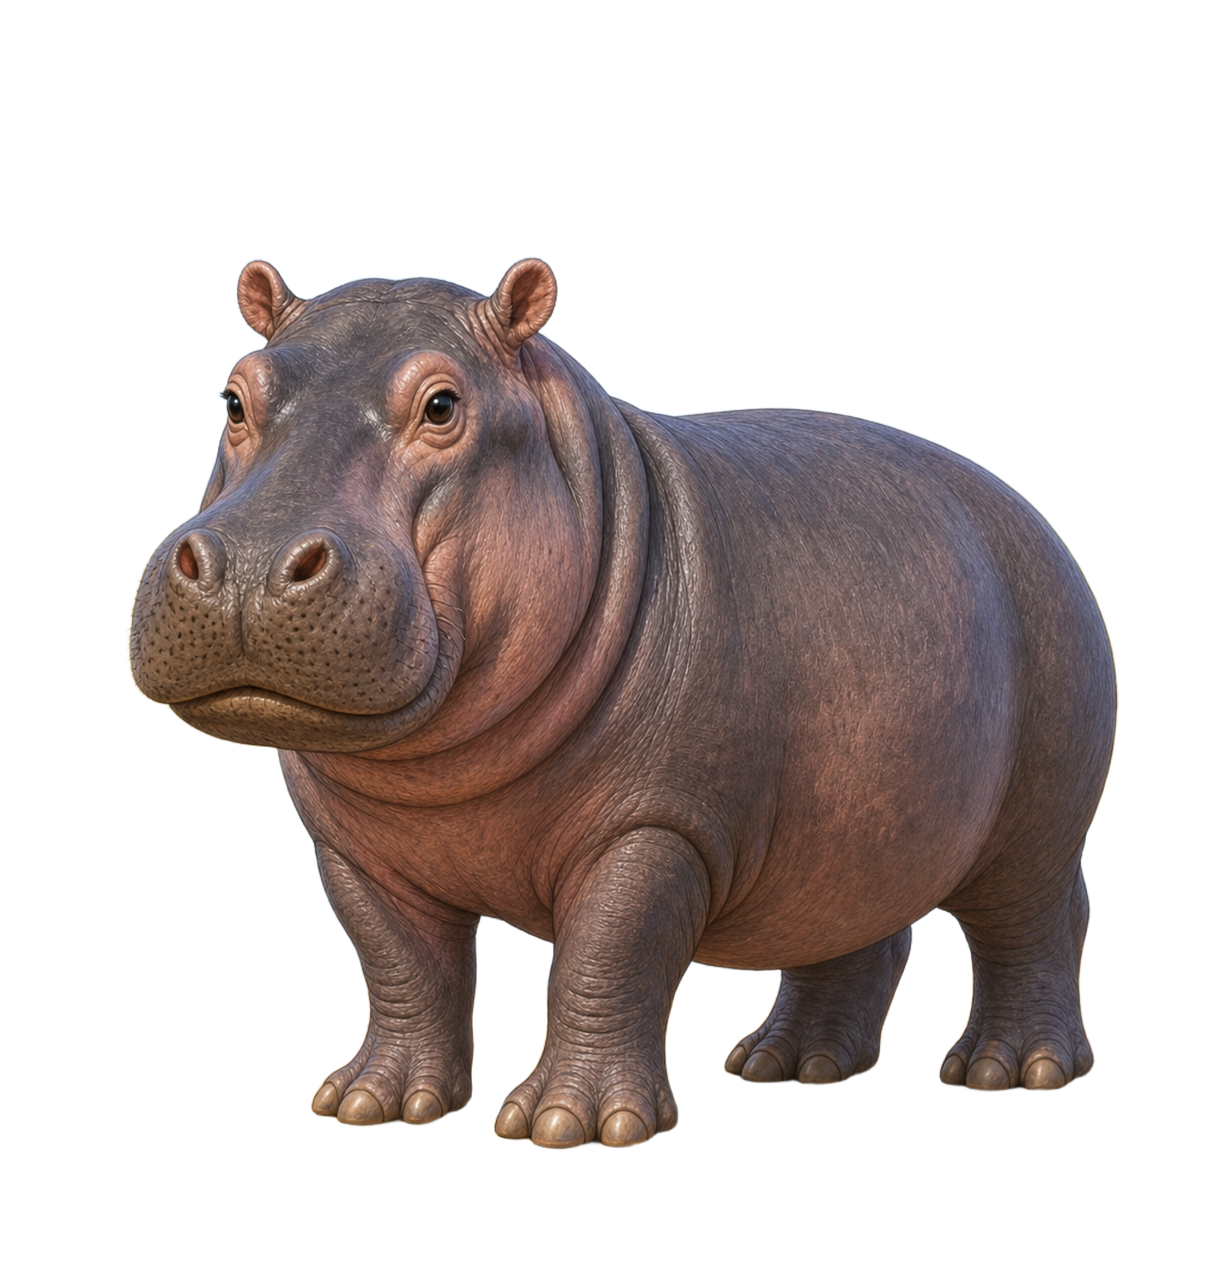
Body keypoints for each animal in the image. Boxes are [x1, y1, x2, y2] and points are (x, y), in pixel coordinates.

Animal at [130, 258, 1115, 1149]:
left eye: (443, 404)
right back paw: (787, 1064)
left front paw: (570, 1125)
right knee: (855, 929)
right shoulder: (351, 846)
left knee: (1035, 920)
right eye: (234, 397)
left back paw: (1008, 1070)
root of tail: (1041, 523)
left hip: (1036, 811)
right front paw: (373, 1103)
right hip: (848, 821)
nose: (251, 564)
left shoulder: (657, 822)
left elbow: (607, 955)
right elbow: (398, 962)